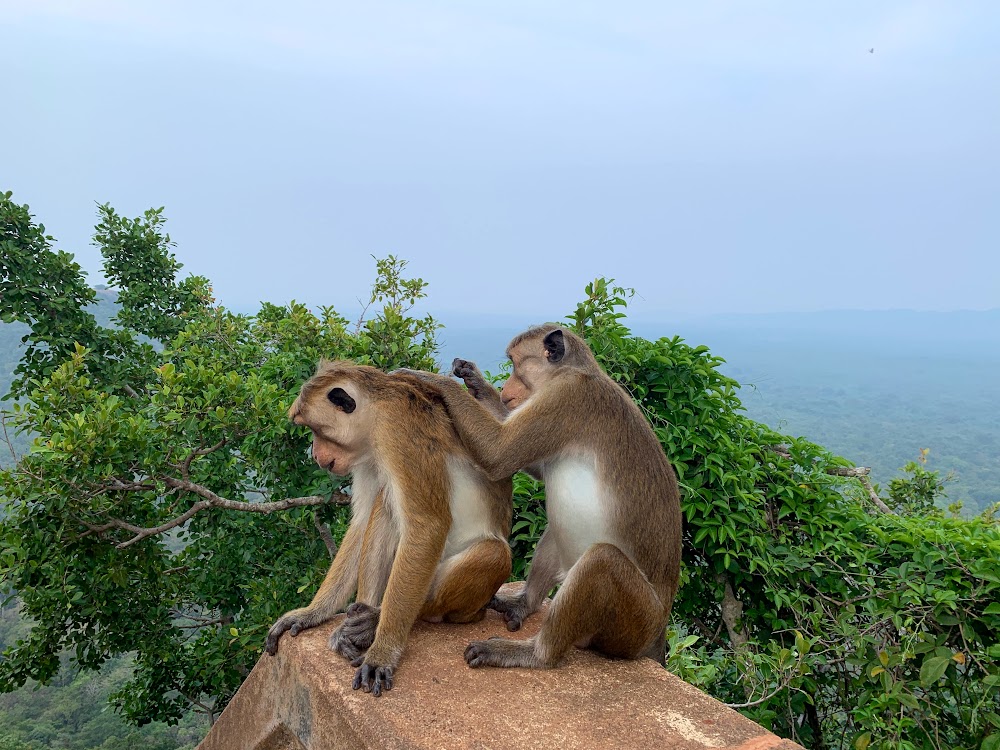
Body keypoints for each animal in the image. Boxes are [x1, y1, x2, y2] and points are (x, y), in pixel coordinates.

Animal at [264, 362, 516, 696]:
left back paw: (380, 620)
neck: (376, 411)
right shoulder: (367, 453)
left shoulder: (397, 430)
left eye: (317, 431)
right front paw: (312, 613)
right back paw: (360, 620)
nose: (316, 455)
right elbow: (361, 524)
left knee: (492, 553)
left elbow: (427, 526)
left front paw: (383, 651)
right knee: (384, 505)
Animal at [396, 326, 680, 672]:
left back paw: (533, 654)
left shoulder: (567, 399)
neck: (572, 371)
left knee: (601, 561)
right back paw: (525, 603)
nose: (506, 390)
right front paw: (475, 381)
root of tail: (659, 630)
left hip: (635, 622)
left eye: (516, 365)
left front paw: (427, 378)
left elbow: (499, 452)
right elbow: (534, 467)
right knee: (557, 532)